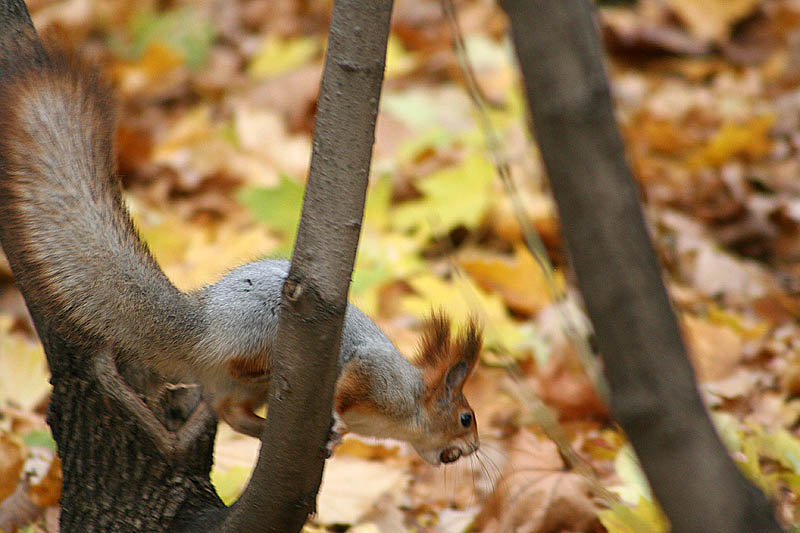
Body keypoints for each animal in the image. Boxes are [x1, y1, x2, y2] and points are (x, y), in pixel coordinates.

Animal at [0, 9, 481, 465]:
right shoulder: (374, 374)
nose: (476, 448)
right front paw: (340, 422)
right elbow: (348, 392)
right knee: (239, 376)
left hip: (237, 386)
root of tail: (202, 328)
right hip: (253, 327)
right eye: (466, 417)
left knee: (230, 411)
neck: (405, 408)